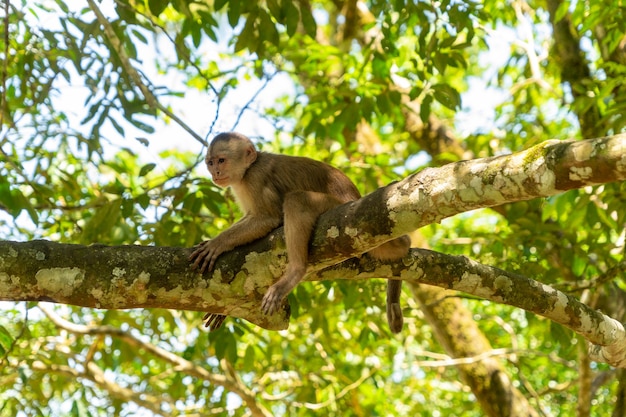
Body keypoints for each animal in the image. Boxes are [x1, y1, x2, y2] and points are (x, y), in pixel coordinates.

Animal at [186, 132, 410, 334]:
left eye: (221, 161)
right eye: (210, 162)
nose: (215, 172)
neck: (249, 167)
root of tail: (356, 199)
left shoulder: (255, 178)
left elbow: (268, 218)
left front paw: (216, 243)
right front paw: (221, 312)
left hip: (339, 210)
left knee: (297, 200)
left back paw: (295, 271)